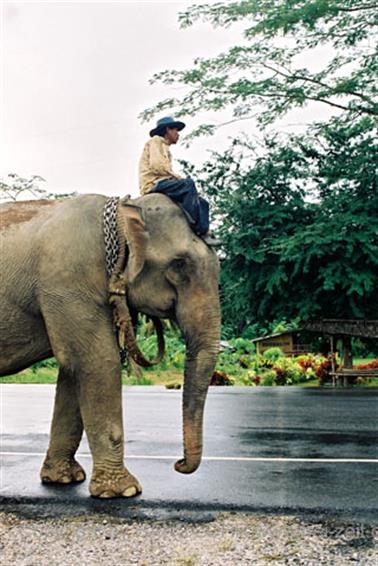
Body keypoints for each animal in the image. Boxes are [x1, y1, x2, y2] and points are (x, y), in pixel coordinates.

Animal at [0, 195, 220, 502]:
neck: (123, 209)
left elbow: (72, 369)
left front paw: (64, 478)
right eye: (179, 264)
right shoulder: (68, 284)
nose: (178, 464)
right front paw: (123, 491)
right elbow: (97, 362)